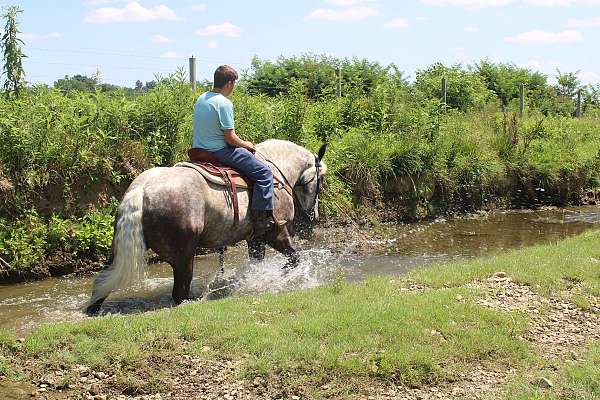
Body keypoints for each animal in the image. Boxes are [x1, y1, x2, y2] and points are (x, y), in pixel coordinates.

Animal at [85, 139, 324, 314]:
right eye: (321, 180)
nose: (315, 214)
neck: (276, 171)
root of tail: (141, 189)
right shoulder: (275, 232)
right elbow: (294, 258)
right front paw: (279, 275)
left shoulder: (255, 239)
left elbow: (258, 263)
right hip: (183, 256)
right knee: (180, 292)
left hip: (119, 250)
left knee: (103, 280)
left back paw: (93, 308)